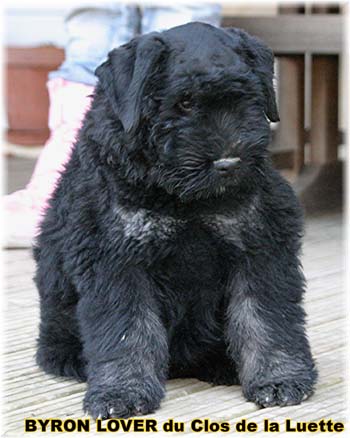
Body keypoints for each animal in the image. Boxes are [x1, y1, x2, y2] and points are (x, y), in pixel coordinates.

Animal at [34, 23, 318, 418]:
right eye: (184, 102)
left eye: (245, 97)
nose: (228, 165)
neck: (182, 197)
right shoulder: (116, 260)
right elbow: (128, 329)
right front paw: (121, 391)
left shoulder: (260, 245)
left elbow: (264, 317)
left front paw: (279, 378)